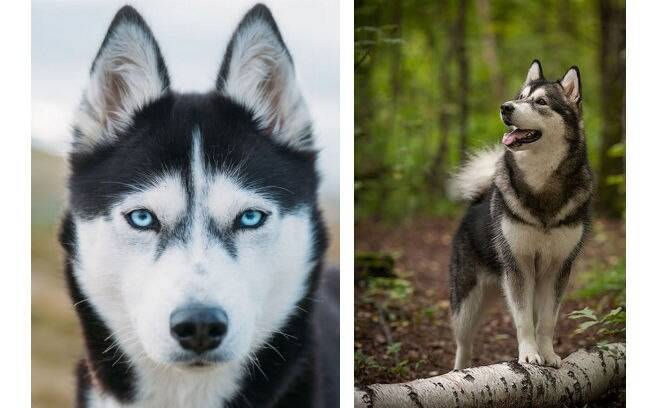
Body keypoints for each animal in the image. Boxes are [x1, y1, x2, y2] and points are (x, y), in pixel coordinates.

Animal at [450, 60, 592, 370]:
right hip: (467, 302)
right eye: (520, 96)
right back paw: (460, 371)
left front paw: (547, 353)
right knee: (463, 343)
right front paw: (528, 354)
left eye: (541, 102)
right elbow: (524, 320)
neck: (541, 185)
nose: (505, 107)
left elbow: (547, 321)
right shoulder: (518, 267)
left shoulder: (557, 269)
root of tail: (478, 201)